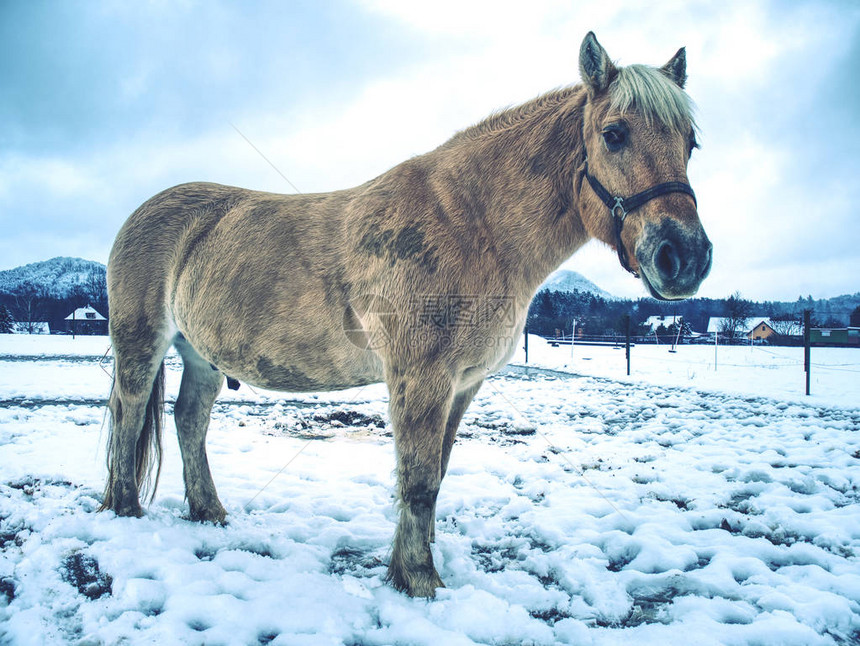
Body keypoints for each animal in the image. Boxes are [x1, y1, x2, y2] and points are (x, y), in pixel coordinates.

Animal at [99, 34, 712, 596]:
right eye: (614, 134)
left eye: (691, 143)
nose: (684, 258)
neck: (473, 226)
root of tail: (143, 214)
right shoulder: (421, 379)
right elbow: (417, 480)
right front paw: (418, 579)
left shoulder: (463, 384)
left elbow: (435, 470)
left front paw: (414, 558)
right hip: (142, 344)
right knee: (129, 415)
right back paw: (126, 508)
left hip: (201, 355)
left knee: (188, 421)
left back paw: (209, 511)